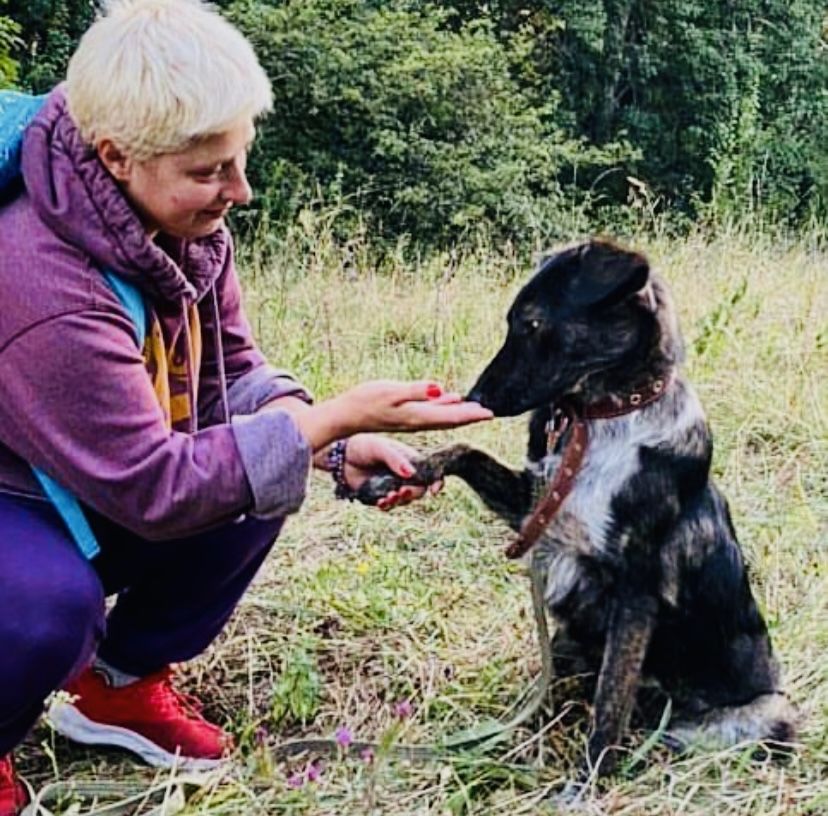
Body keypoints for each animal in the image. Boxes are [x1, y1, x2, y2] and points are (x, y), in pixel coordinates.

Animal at [360, 239, 800, 776]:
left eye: (531, 323)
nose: (476, 397)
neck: (597, 418)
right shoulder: (534, 505)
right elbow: (467, 450)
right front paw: (396, 474)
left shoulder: (636, 592)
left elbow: (611, 701)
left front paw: (588, 781)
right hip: (570, 642)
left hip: (766, 713)